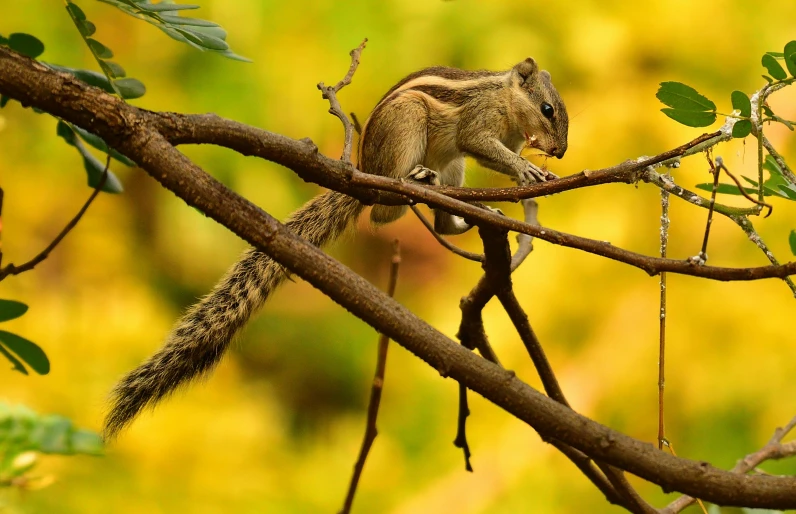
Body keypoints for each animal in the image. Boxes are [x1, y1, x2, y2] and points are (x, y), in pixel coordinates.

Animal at [104, 58, 564, 438]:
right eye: (547, 109)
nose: (560, 151)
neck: (506, 100)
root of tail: (366, 169)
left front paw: (527, 173)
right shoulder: (477, 122)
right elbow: (482, 144)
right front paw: (525, 168)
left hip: (452, 165)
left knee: (439, 223)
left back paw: (467, 213)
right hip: (408, 129)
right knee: (382, 213)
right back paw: (414, 182)